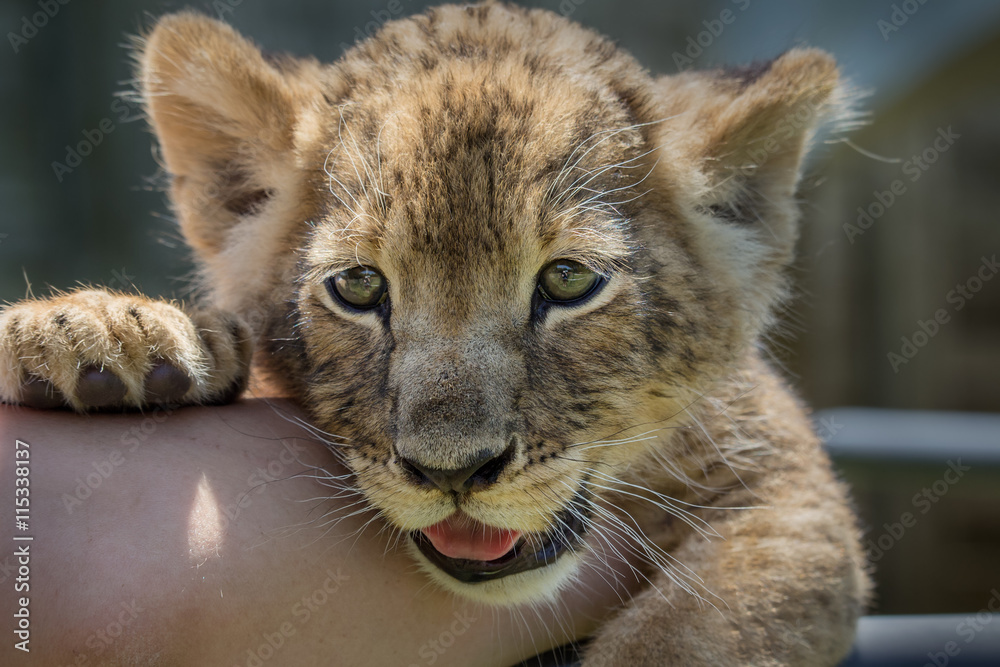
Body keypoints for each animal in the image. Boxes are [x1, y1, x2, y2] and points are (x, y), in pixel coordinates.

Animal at [0, 2, 869, 664]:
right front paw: (96, 335)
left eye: (568, 281)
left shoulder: (792, 493)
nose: (453, 470)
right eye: (358, 287)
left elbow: (689, 636)